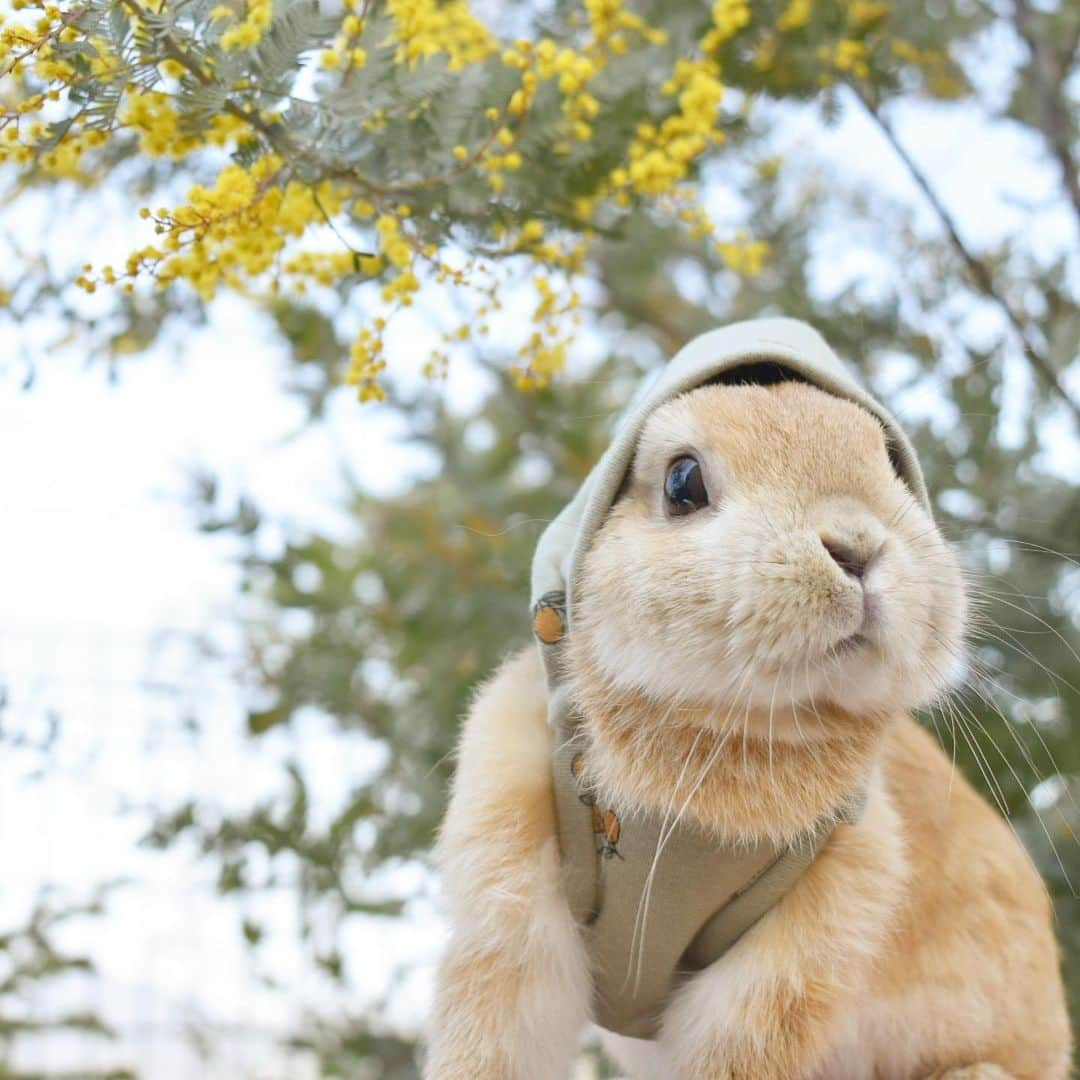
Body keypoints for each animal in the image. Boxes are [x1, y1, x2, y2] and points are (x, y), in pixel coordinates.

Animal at [423, 321, 1071, 1080]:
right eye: (682, 482)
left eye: (887, 463)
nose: (857, 548)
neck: (730, 731)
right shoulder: (513, 907)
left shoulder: (780, 972)